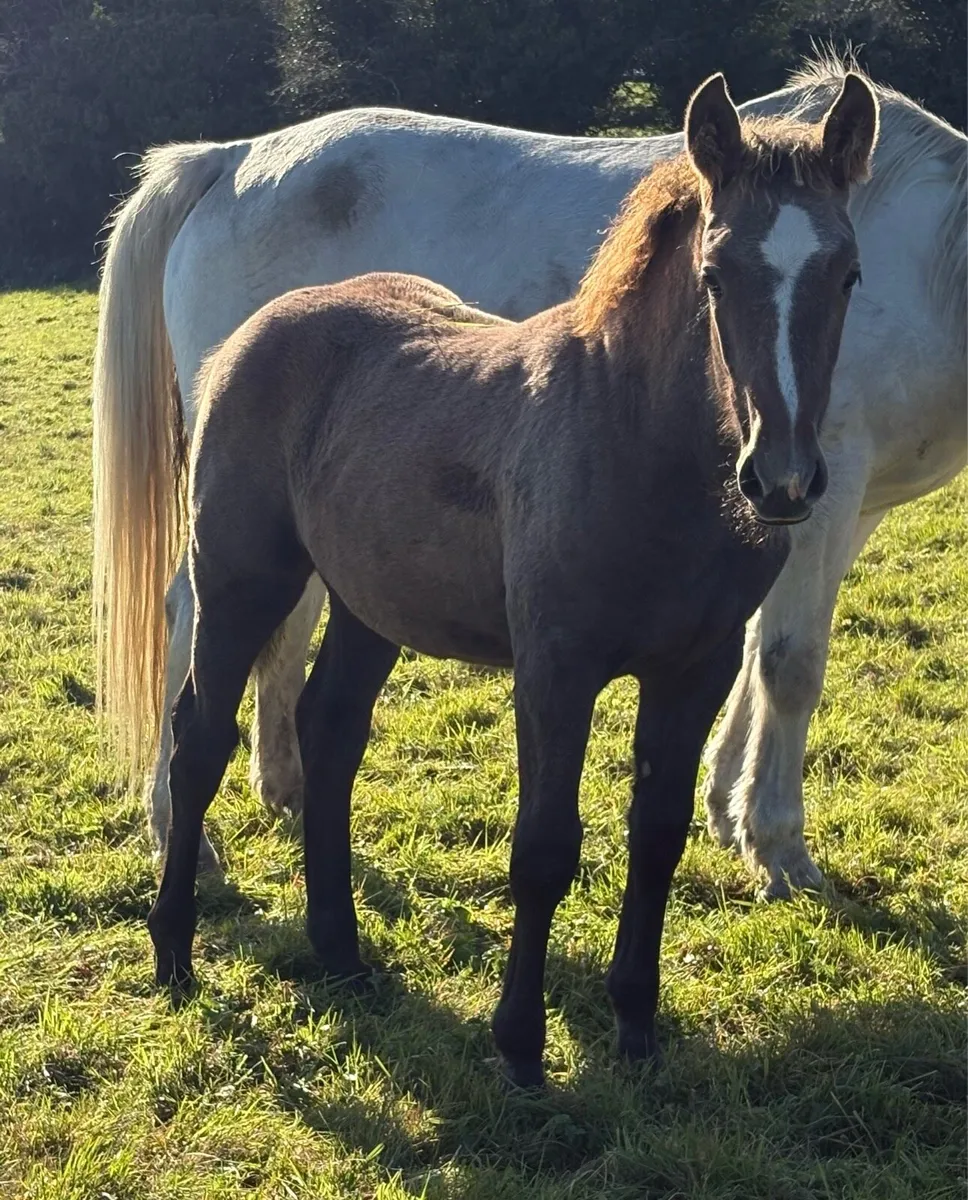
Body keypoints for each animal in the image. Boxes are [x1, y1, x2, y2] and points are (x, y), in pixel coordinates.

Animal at [93, 54, 966, 898]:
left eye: (851, 274)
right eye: (714, 277)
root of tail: (229, 158)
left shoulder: (832, 507)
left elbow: (755, 653)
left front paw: (726, 809)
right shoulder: (822, 490)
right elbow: (791, 664)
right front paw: (778, 846)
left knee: (295, 619)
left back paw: (289, 789)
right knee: (190, 617)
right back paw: (178, 828)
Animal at [145, 74, 879, 1086]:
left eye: (846, 275)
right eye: (715, 275)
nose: (783, 482)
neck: (631, 437)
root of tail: (257, 330)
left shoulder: (693, 671)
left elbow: (657, 837)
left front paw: (637, 1029)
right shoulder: (555, 669)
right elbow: (543, 849)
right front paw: (522, 1046)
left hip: (372, 601)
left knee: (331, 729)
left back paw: (341, 953)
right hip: (241, 578)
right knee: (200, 737)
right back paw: (174, 949)